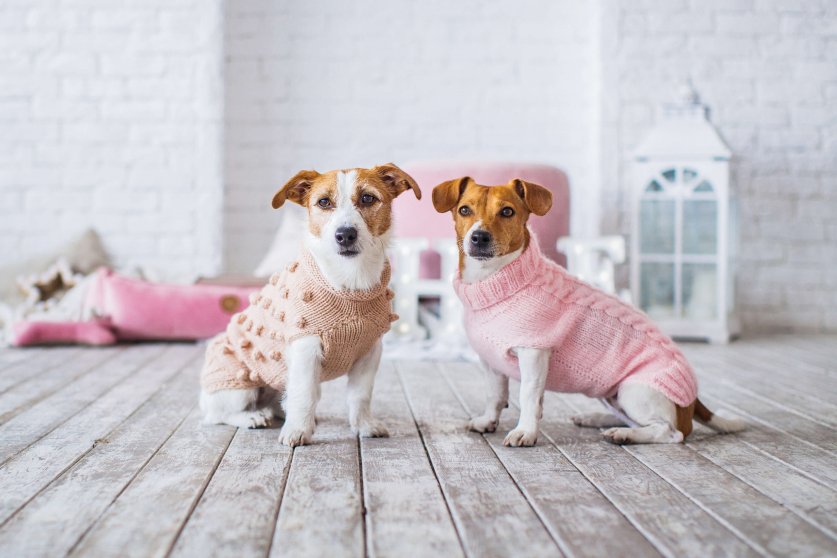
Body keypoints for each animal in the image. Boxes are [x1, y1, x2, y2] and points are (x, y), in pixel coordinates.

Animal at [200, 164, 422, 448]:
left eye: (367, 198)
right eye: (324, 202)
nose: (345, 234)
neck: (349, 281)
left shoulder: (370, 351)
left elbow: (360, 395)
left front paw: (364, 426)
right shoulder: (306, 348)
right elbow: (304, 394)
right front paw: (297, 432)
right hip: (237, 383)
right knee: (218, 414)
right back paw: (253, 417)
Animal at [432, 177, 744, 448]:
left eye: (507, 211)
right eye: (464, 210)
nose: (479, 237)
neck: (494, 280)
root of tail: (693, 402)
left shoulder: (534, 354)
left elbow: (529, 396)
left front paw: (525, 432)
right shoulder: (491, 361)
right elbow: (495, 395)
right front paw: (487, 421)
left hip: (635, 391)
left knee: (669, 432)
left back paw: (624, 434)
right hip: (614, 396)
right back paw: (597, 419)